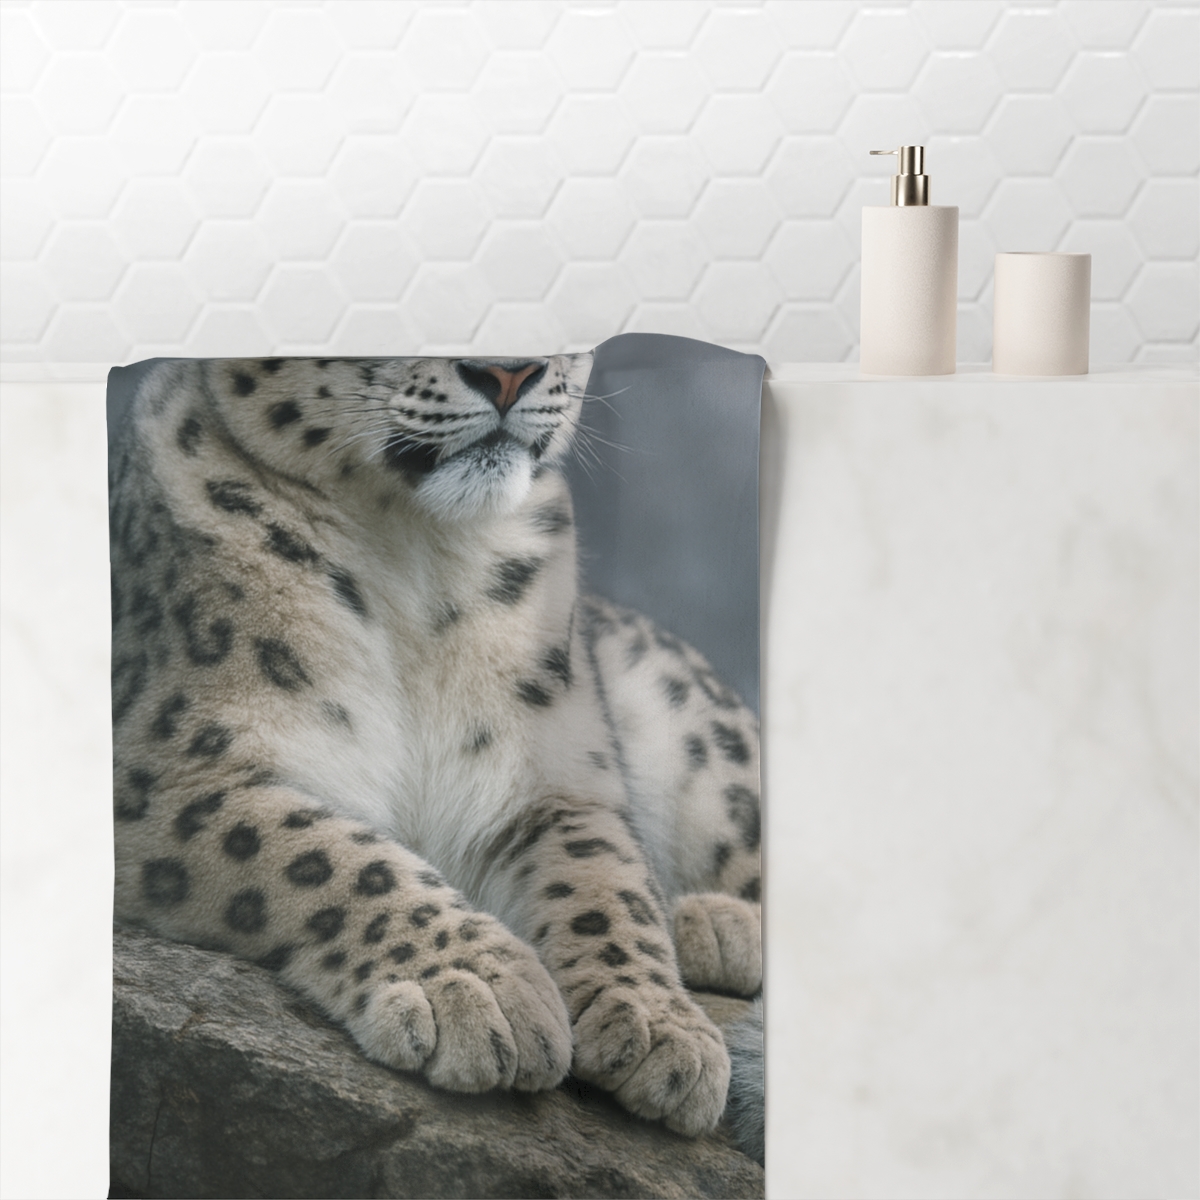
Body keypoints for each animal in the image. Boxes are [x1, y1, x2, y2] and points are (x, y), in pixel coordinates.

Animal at [109, 353, 763, 1144]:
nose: (510, 373)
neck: (417, 555)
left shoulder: (560, 776)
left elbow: (604, 878)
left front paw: (660, 1029)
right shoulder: (166, 769)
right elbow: (321, 853)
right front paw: (482, 990)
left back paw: (713, 924)